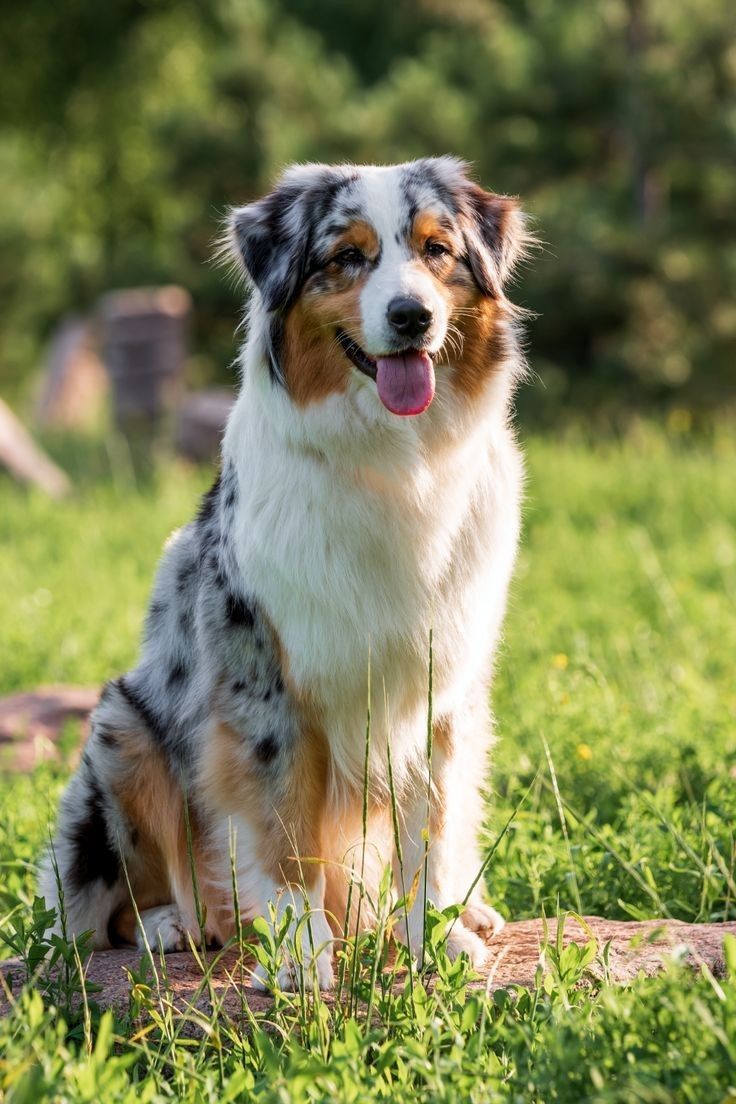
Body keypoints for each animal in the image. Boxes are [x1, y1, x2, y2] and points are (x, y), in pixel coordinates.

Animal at [40, 151, 531, 989]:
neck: (394, 464)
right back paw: (174, 923)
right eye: (346, 258)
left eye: (437, 250)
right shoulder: (264, 679)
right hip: (120, 727)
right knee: (102, 912)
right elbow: (285, 828)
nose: (412, 317)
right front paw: (302, 957)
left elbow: (431, 825)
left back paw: (472, 910)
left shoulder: (444, 680)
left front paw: (436, 938)